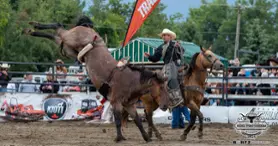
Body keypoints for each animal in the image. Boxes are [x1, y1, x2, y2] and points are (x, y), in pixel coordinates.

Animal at [22, 16, 168, 143]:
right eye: (161, 87)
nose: (166, 105)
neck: (131, 80)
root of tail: (86, 27)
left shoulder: (129, 105)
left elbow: (137, 120)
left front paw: (146, 137)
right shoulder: (116, 102)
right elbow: (118, 120)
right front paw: (119, 138)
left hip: (68, 48)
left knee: (56, 33)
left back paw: (33, 29)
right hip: (70, 39)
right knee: (59, 28)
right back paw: (32, 28)